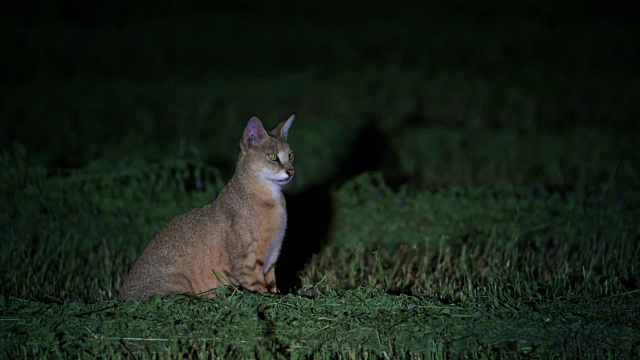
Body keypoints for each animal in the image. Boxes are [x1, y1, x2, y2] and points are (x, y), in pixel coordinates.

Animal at [119, 115, 296, 300]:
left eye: (290, 155)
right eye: (273, 156)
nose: (291, 171)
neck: (272, 199)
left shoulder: (271, 261)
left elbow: (272, 288)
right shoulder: (247, 264)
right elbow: (261, 292)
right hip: (180, 280)